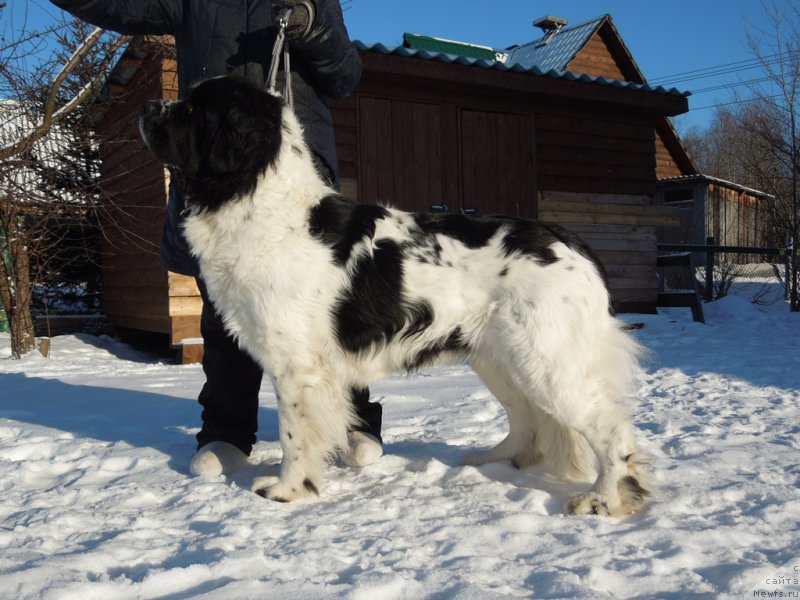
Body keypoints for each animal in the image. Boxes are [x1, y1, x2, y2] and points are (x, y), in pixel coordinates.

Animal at [138, 75, 648, 516]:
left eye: (192, 109)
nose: (145, 106)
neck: (262, 203)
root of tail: (570, 241)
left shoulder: (298, 368)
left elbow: (293, 435)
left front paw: (288, 490)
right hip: (500, 359)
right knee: (529, 423)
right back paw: (491, 461)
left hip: (546, 362)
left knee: (611, 431)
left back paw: (604, 499)